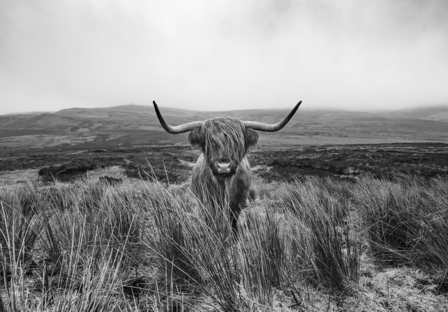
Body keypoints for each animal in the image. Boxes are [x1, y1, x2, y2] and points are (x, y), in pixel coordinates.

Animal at [152, 100, 302, 234]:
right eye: (210, 142)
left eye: (237, 142)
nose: (223, 166)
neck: (223, 185)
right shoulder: (207, 201)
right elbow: (211, 220)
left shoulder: (238, 203)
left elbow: (233, 220)